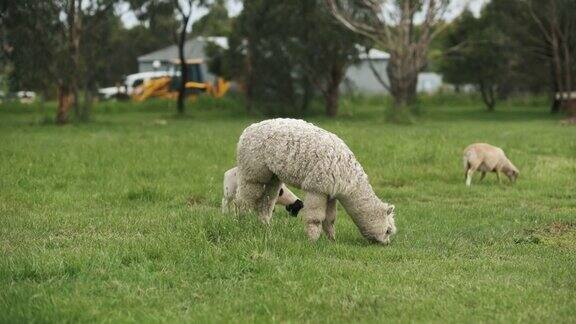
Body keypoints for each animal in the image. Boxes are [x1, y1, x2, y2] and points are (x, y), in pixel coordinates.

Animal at [234, 118, 396, 243]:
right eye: (388, 230)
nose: (386, 243)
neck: (349, 181)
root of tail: (247, 130)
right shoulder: (317, 188)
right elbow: (315, 218)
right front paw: (312, 240)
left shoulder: (330, 192)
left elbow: (330, 219)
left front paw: (332, 240)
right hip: (253, 171)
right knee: (244, 199)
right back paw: (243, 223)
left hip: (273, 176)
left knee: (267, 201)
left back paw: (265, 227)